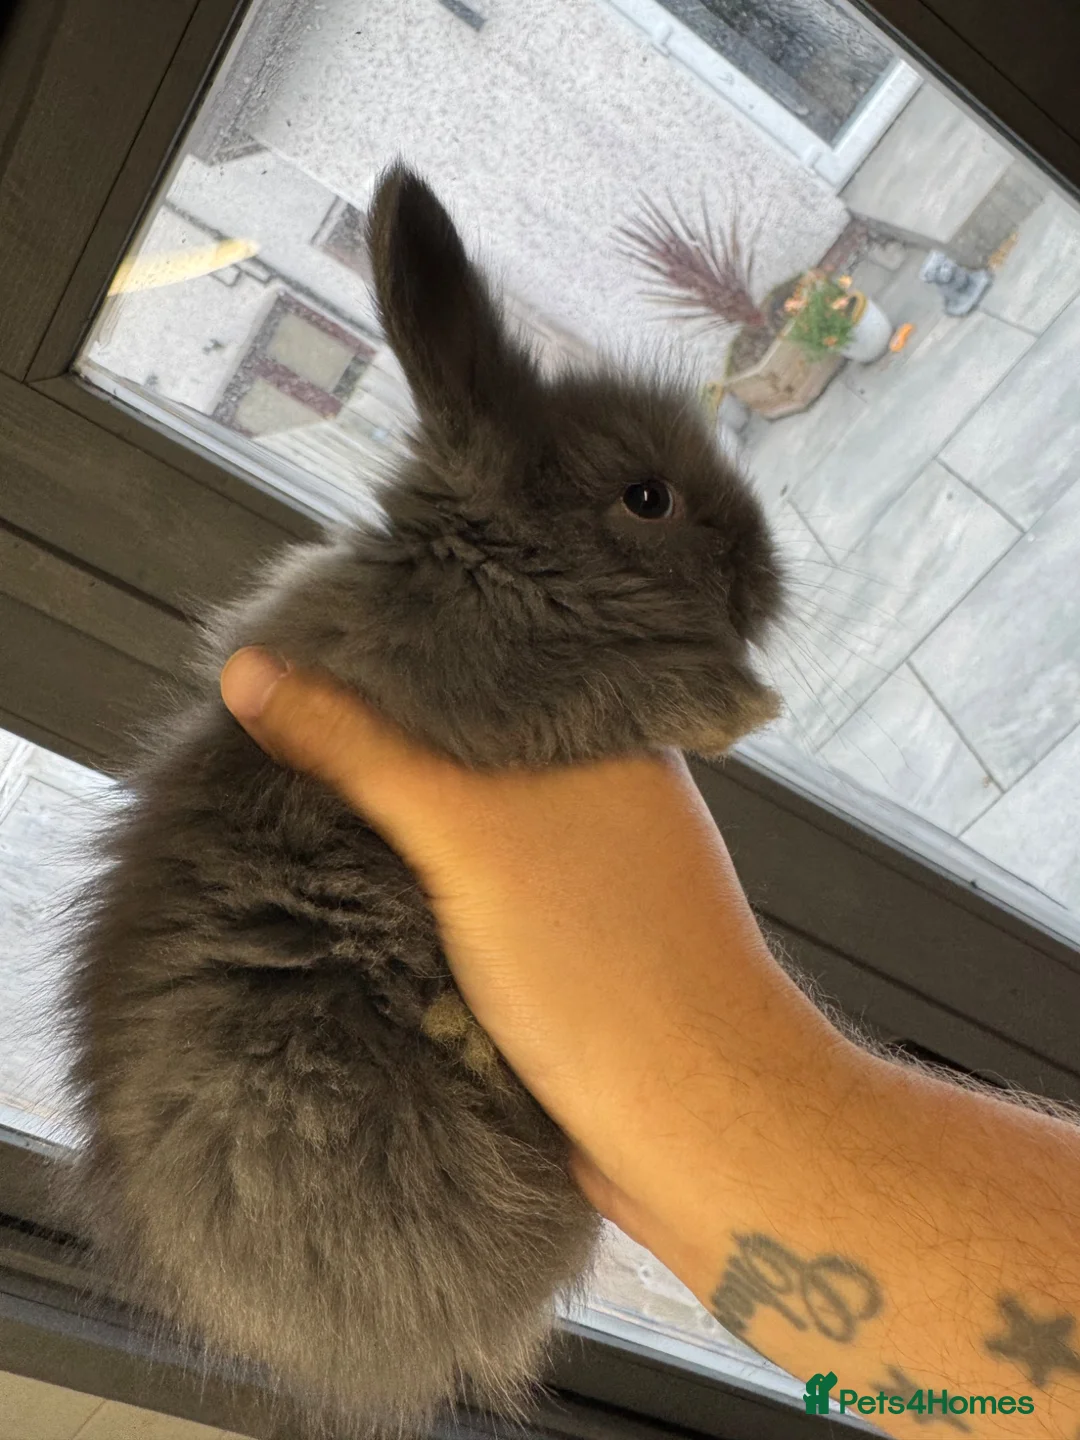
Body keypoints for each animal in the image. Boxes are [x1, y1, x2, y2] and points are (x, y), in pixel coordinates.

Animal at [56, 163, 786, 1440]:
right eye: (647, 497)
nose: (769, 576)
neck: (491, 558)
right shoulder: (511, 692)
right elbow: (633, 687)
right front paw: (742, 705)